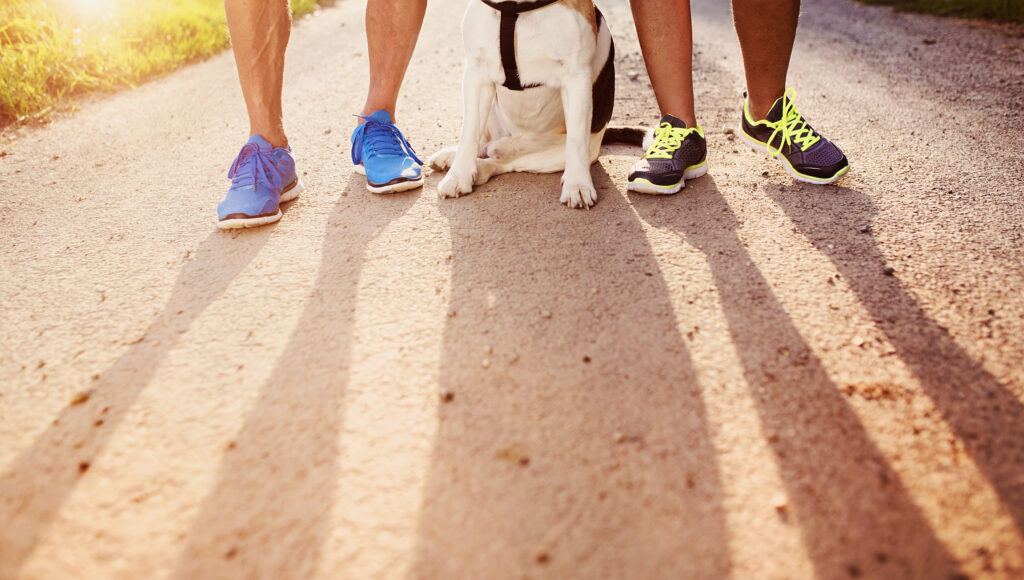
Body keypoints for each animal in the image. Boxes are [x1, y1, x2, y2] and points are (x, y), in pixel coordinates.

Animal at [428, 0, 634, 209]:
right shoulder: (476, 73)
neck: (514, 8)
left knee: (506, 162)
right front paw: (457, 175)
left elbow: (576, 142)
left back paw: (493, 158)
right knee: (483, 142)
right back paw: (455, 155)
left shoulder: (576, 77)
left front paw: (578, 185)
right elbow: (469, 133)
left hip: (561, 154)